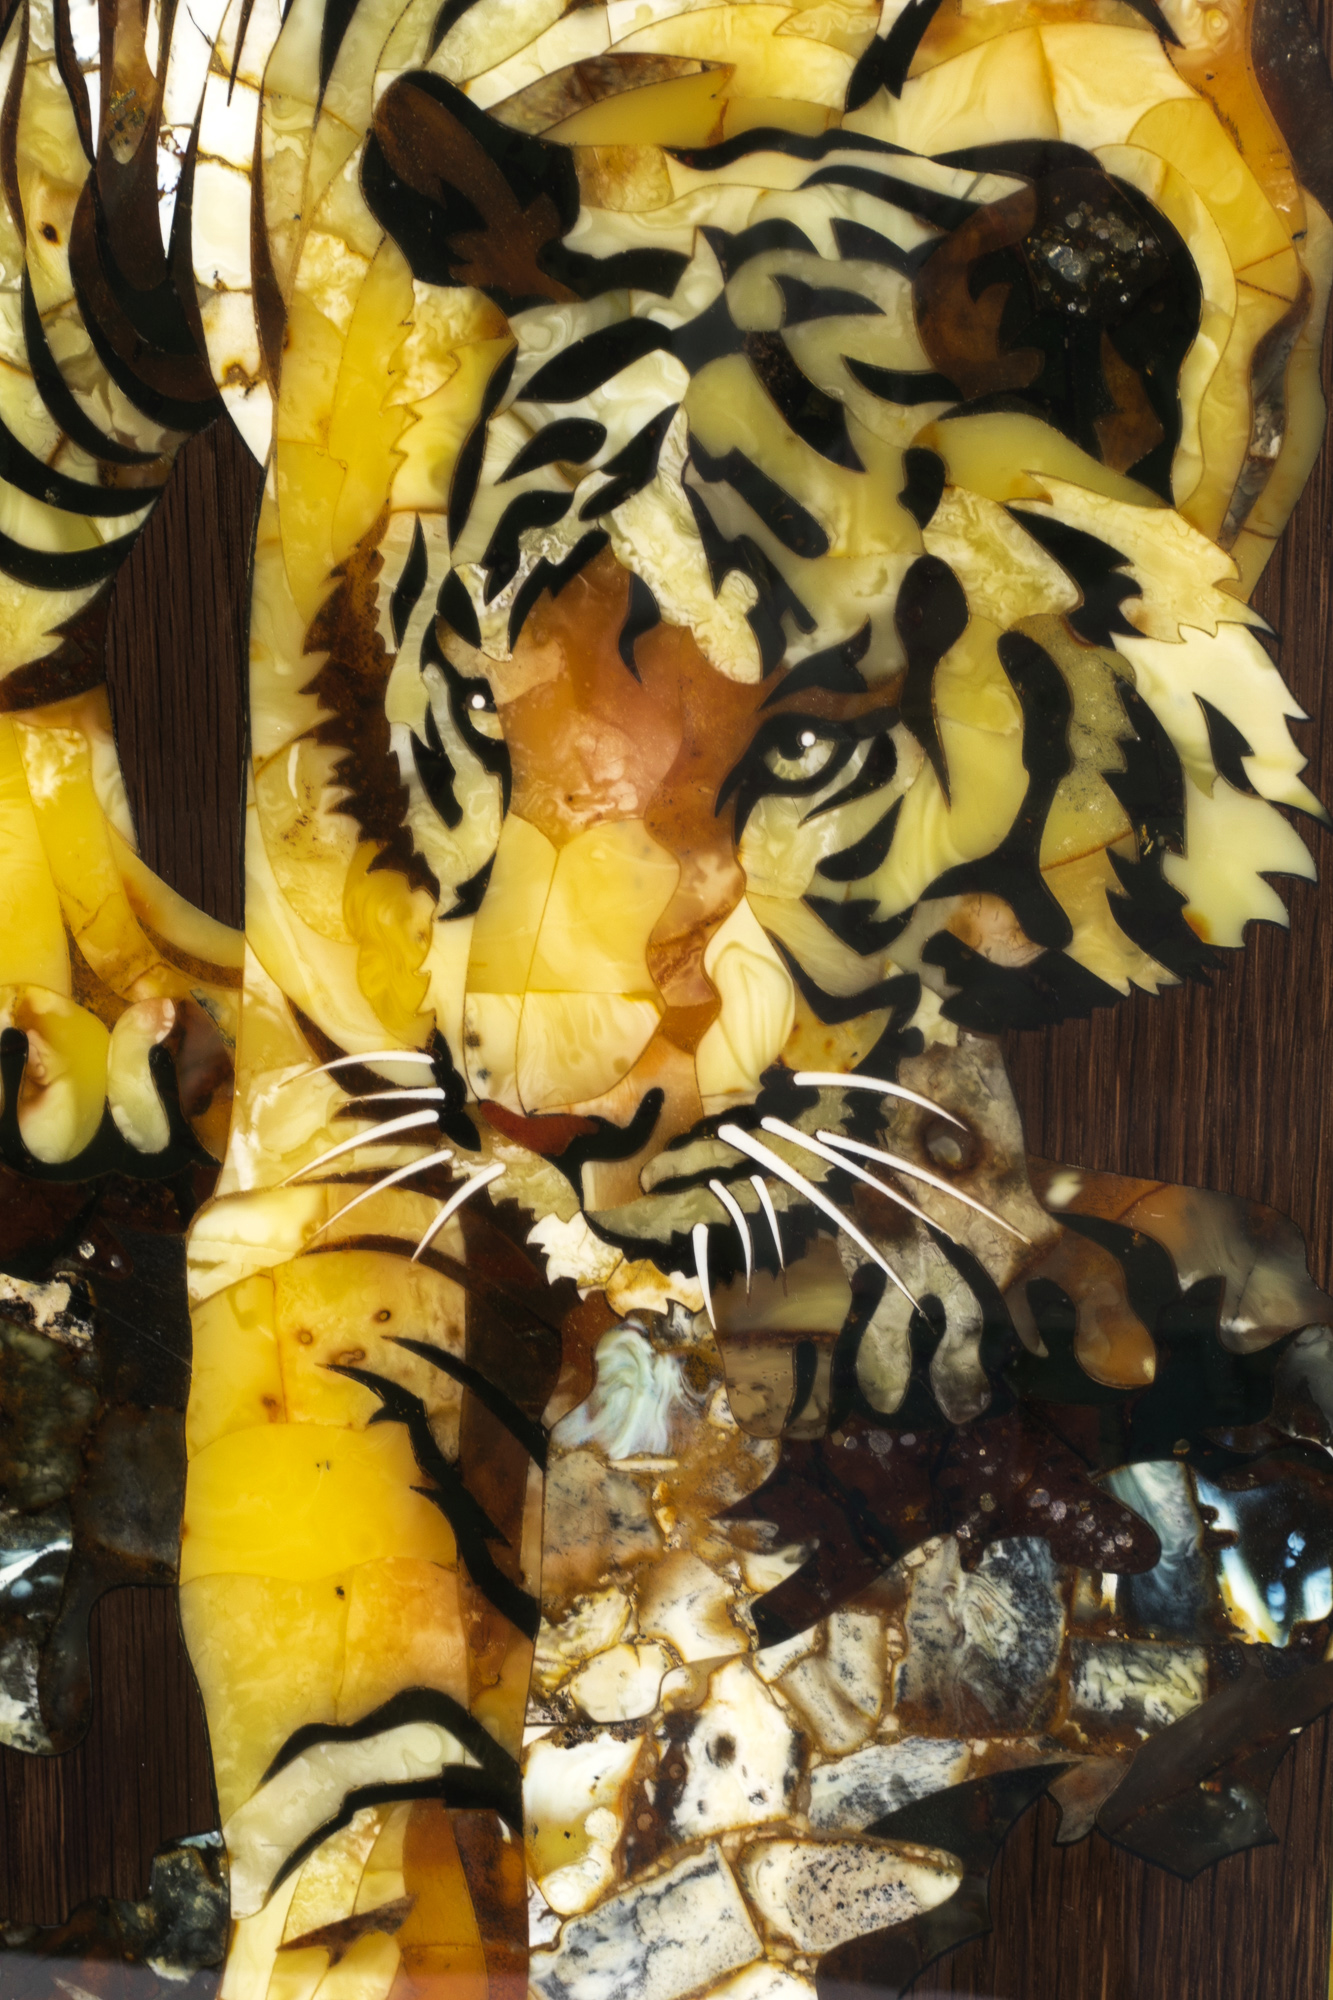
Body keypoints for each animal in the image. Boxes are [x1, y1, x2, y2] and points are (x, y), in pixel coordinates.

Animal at [0, 0, 1332, 1990]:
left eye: (804, 742)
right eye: (483, 697)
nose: (539, 1122)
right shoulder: (349, 1119)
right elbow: (359, 1623)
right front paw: (383, 1915)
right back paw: (97, 1008)